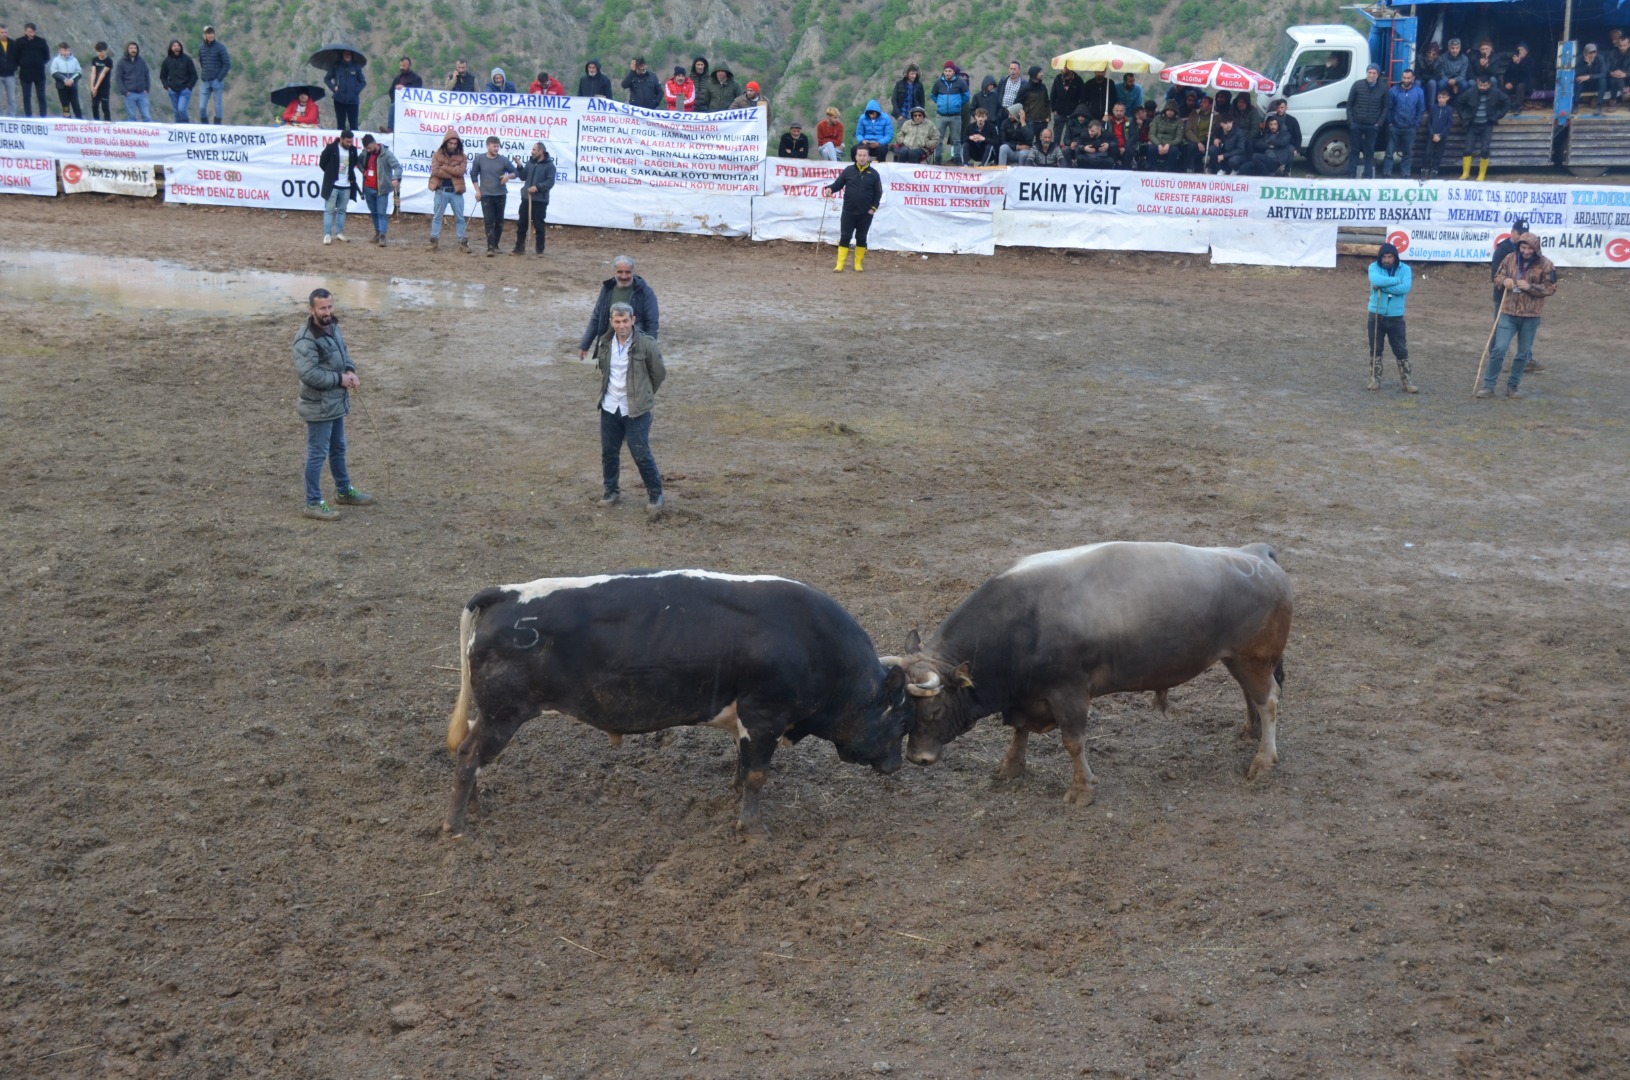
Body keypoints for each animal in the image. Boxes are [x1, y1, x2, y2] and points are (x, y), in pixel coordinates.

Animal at [440, 573, 912, 834]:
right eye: (902, 719)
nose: (897, 766)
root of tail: (505, 593)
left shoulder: (746, 721)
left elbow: (743, 765)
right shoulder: (765, 715)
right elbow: (758, 773)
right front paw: (753, 827)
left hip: (491, 715)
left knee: (469, 751)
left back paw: (476, 808)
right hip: (503, 715)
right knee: (468, 757)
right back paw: (457, 826)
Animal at [886, 540, 1290, 801]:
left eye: (935, 709)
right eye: (907, 709)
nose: (917, 758)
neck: (1023, 621)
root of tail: (1254, 554)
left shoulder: (1069, 695)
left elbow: (1073, 742)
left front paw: (1081, 790)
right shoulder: (1025, 697)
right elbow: (1019, 730)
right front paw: (1010, 767)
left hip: (1253, 659)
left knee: (1268, 700)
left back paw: (1263, 760)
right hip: (1237, 659)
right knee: (1250, 694)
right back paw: (1250, 731)